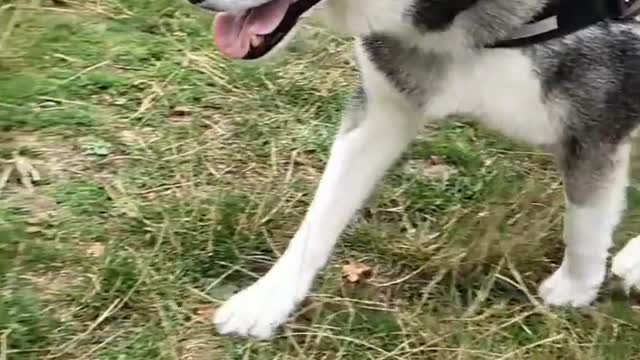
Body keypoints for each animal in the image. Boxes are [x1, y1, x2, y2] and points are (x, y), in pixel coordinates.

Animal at [188, 0, 640, 338]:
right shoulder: (383, 110)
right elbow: (319, 219)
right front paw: (268, 299)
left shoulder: (594, 130)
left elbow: (583, 227)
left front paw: (575, 289)